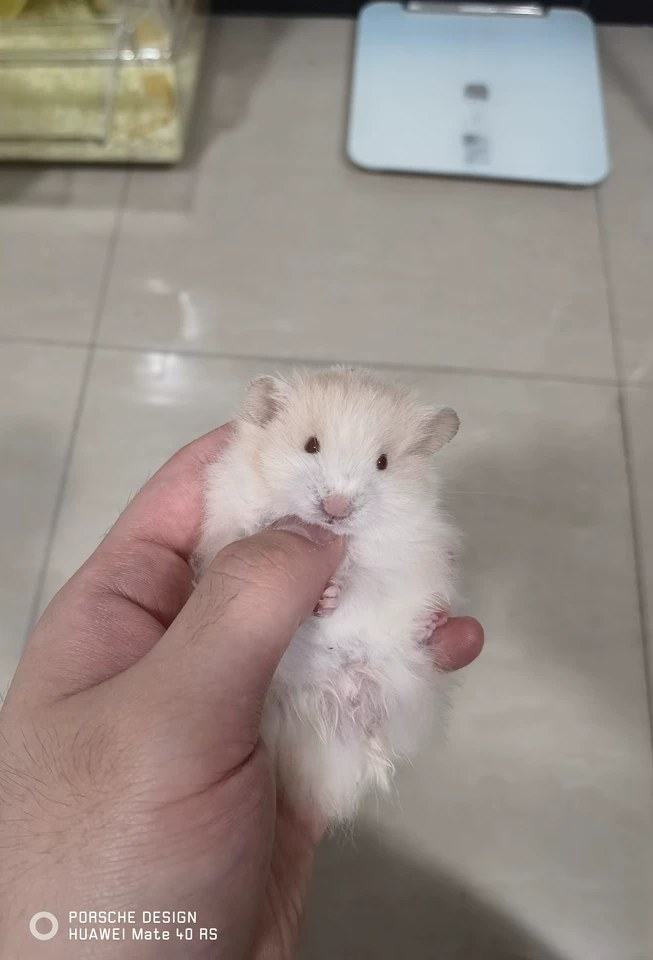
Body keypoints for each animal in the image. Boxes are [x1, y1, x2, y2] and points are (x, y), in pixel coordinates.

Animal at [194, 366, 460, 822]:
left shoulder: (399, 555)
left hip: (404, 687)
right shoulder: (230, 522)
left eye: (383, 462)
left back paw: (432, 622)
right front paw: (322, 599)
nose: (336, 510)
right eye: (310, 445)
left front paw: (331, 595)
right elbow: (249, 532)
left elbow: (366, 581)